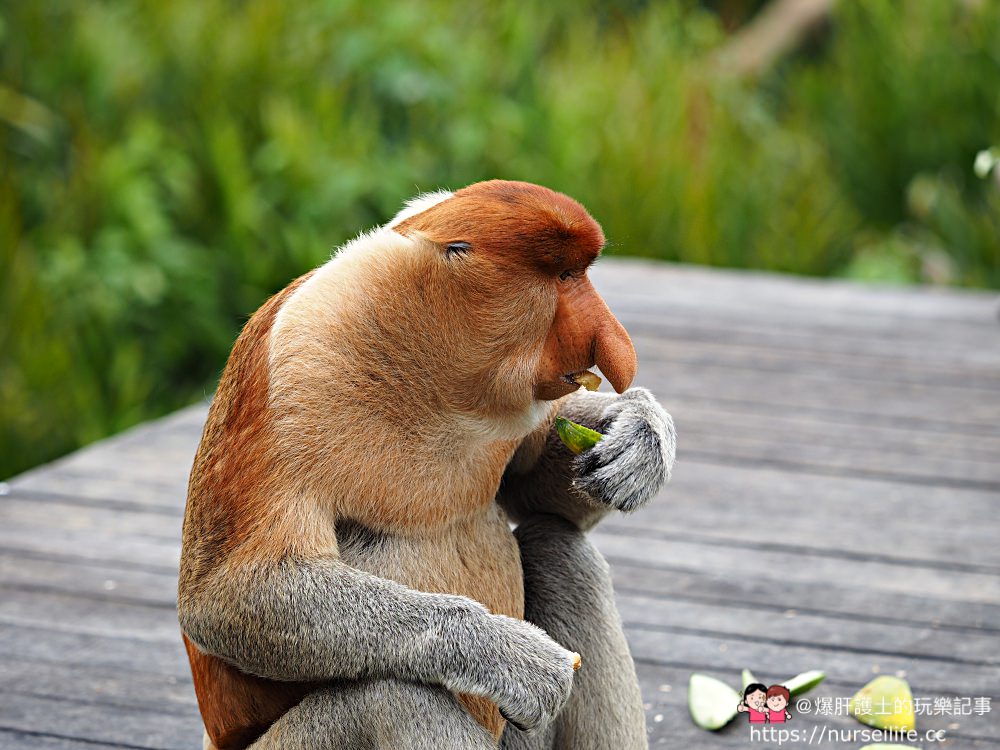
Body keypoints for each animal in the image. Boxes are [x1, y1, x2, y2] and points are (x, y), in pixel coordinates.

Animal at [180, 179, 680, 748]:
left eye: (579, 273)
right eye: (565, 276)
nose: (618, 351)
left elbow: (534, 486)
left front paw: (640, 436)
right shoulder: (291, 372)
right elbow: (230, 593)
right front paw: (509, 656)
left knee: (561, 550)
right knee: (391, 699)